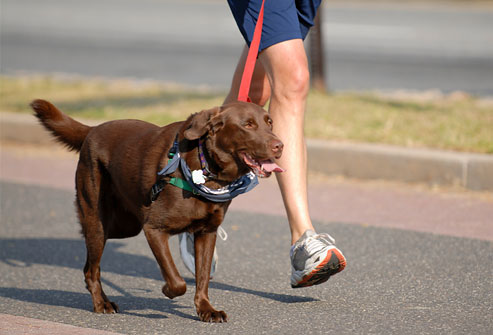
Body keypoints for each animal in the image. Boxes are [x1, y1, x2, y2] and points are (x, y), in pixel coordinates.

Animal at [30, 100, 282, 322]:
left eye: (269, 122)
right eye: (248, 124)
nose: (280, 145)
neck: (206, 169)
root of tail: (93, 130)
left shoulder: (207, 233)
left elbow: (202, 278)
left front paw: (206, 310)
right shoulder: (153, 228)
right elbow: (177, 280)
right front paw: (167, 291)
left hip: (124, 226)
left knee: (89, 266)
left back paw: (104, 299)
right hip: (98, 221)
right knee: (92, 269)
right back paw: (101, 304)